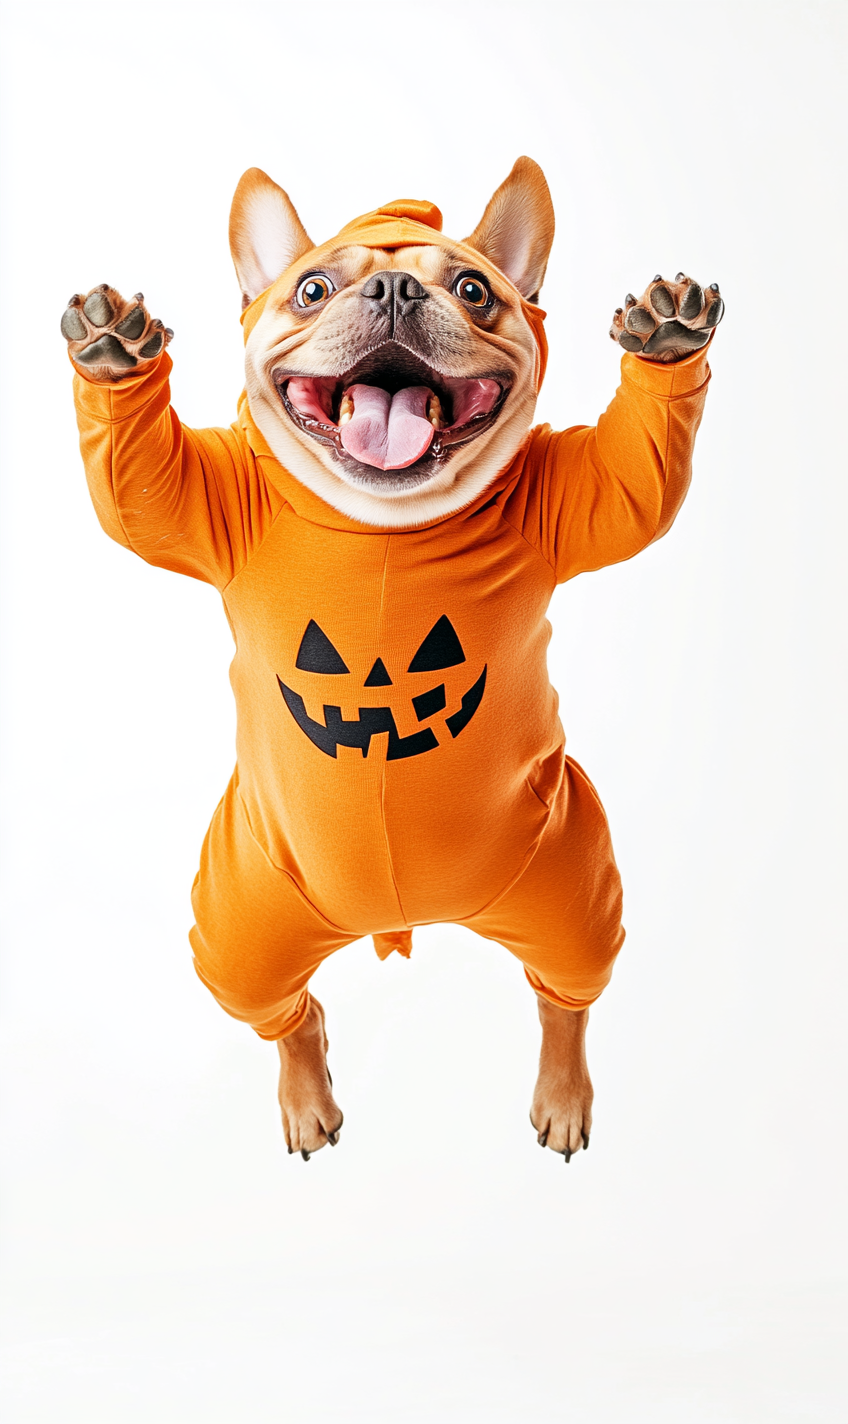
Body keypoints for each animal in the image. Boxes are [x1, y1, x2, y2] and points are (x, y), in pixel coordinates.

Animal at [61, 158, 722, 1156]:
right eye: (311, 289)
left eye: (476, 291)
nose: (396, 289)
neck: (384, 518)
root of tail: (398, 922)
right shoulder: (200, 508)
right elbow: (134, 485)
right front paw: (113, 350)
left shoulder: (578, 504)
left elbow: (641, 478)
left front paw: (667, 339)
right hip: (239, 929)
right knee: (286, 1012)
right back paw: (309, 1096)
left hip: (572, 893)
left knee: (563, 1000)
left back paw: (562, 1094)